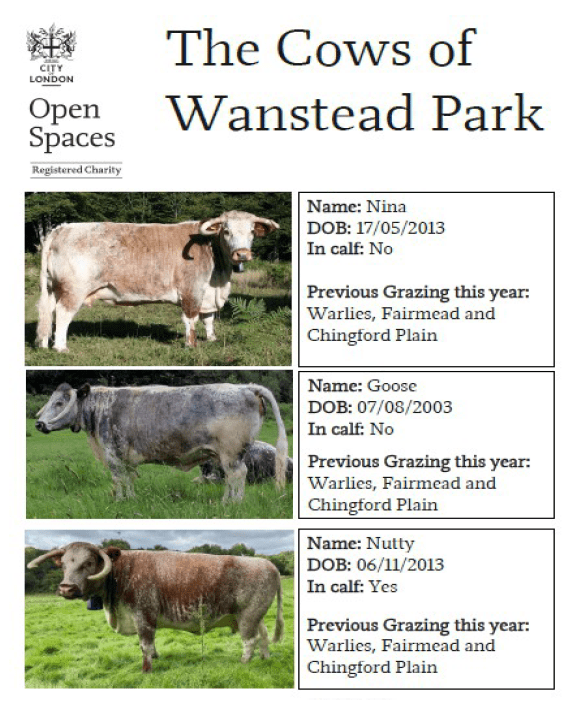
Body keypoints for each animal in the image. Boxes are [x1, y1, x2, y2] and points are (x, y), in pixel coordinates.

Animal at [27, 542, 284, 672]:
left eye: (89, 562)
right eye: (63, 565)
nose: (66, 588)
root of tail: (268, 563)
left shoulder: (143, 615)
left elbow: (144, 644)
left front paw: (147, 669)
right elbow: (150, 645)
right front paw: (155, 657)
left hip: (248, 615)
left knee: (249, 640)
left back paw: (244, 663)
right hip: (255, 616)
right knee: (263, 636)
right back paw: (265, 659)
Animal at [35, 211, 279, 352]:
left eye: (251, 232)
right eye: (226, 231)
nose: (242, 254)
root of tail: (61, 228)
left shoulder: (207, 294)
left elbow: (208, 319)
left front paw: (212, 339)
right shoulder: (192, 290)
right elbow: (190, 319)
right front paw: (191, 345)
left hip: (53, 288)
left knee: (48, 314)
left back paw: (45, 343)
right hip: (73, 289)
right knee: (63, 314)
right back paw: (60, 347)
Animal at [35, 383, 288, 502]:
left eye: (59, 403)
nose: (38, 424)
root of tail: (247, 387)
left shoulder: (113, 454)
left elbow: (119, 480)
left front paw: (120, 501)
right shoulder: (125, 457)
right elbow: (128, 479)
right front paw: (131, 500)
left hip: (231, 451)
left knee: (237, 475)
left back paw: (233, 503)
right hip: (231, 454)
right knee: (232, 476)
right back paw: (227, 500)